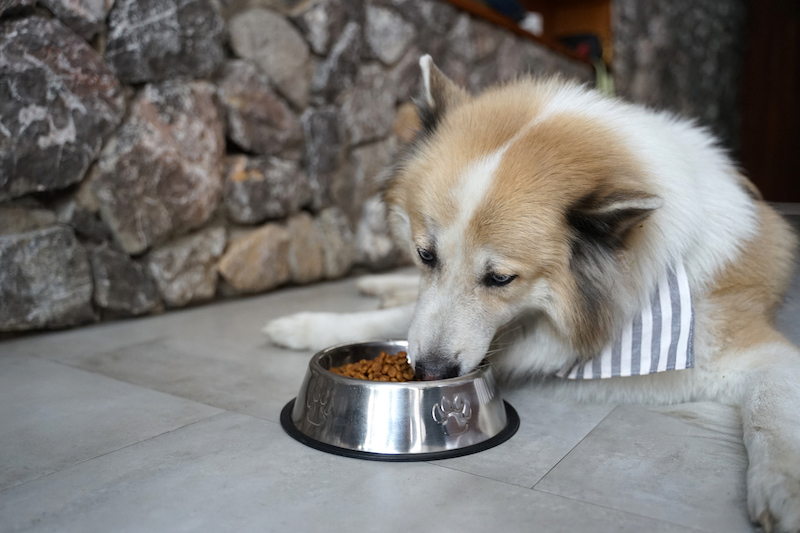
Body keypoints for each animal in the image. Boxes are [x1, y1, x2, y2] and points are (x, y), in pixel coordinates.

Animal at [268, 56, 800, 528]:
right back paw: (375, 284)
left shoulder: (756, 351)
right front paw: (312, 326)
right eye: (425, 254)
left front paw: (784, 489)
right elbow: (403, 317)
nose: (429, 374)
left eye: (501, 279)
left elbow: (771, 411)